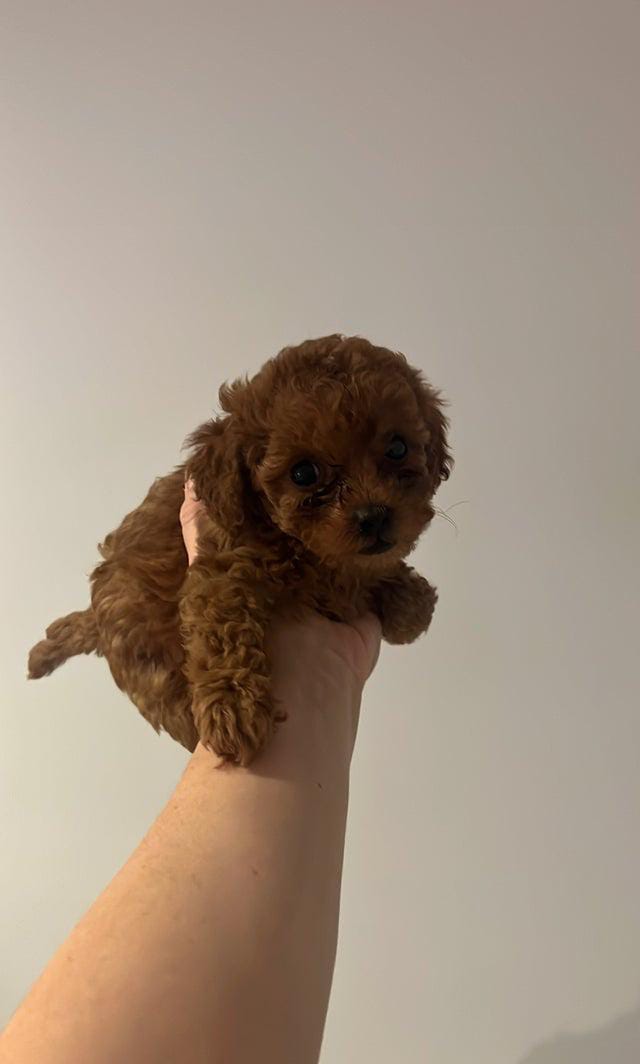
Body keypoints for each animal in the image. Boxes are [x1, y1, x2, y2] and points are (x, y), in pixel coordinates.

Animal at [28, 334, 452, 764]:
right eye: (303, 474)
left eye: (398, 449)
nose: (374, 516)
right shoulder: (221, 568)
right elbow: (224, 630)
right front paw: (233, 711)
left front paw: (409, 601)